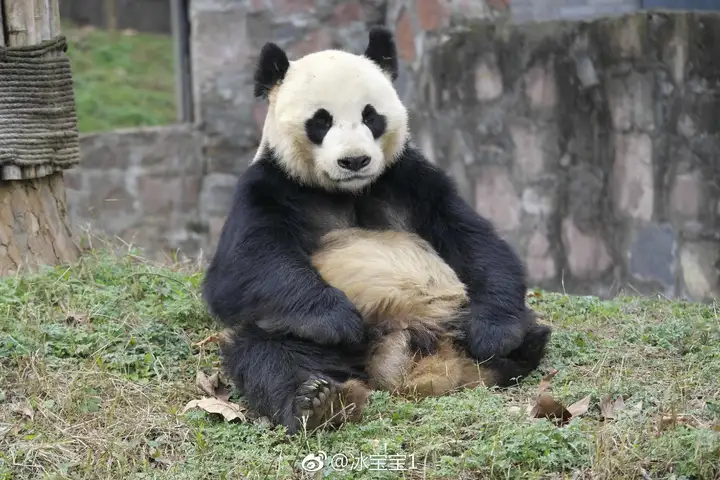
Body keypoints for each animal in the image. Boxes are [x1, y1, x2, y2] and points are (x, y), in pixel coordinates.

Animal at [202, 27, 552, 436]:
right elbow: (242, 271)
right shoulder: (269, 188)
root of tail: (404, 352)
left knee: (519, 327)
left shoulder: (410, 180)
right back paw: (319, 401)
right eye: (321, 121)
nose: (355, 160)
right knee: (270, 353)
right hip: (294, 332)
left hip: (456, 312)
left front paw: (495, 333)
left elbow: (473, 238)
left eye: (371, 117)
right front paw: (337, 320)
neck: (346, 190)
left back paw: (517, 348)